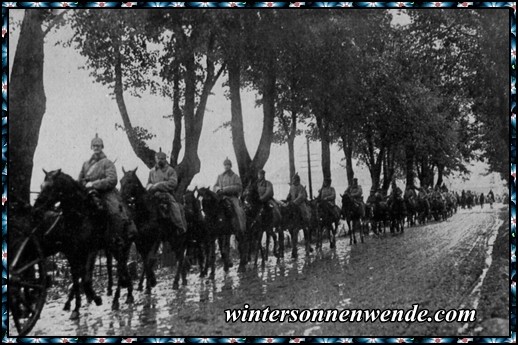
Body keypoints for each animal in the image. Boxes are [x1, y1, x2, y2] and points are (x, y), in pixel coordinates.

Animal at [33, 169, 133, 314]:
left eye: (50, 187)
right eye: (41, 186)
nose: (36, 208)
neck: (79, 217)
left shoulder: (91, 250)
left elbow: (85, 279)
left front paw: (96, 298)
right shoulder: (72, 253)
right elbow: (76, 278)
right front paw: (76, 307)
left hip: (121, 246)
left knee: (120, 269)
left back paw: (117, 299)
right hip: (114, 249)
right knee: (122, 267)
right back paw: (128, 293)